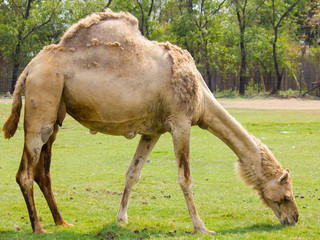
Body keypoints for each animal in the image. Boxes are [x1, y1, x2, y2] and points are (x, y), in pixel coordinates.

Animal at [2, 9, 298, 234]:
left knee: (43, 171)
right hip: (43, 99)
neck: (202, 99)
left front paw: (121, 220)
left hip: (56, 112)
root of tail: (29, 68)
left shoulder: (153, 130)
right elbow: (185, 177)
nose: (294, 218)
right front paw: (201, 227)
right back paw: (39, 227)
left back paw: (62, 222)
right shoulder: (180, 121)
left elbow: (133, 173)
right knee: (25, 172)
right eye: (285, 196)